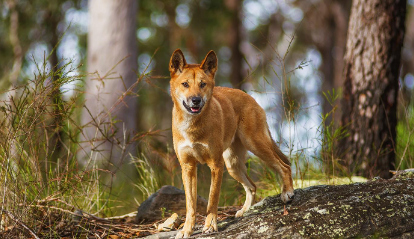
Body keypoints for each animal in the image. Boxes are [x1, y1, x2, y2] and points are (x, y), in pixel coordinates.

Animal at [169, 49, 294, 238]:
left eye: (203, 84)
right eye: (185, 84)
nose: (196, 100)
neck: (193, 126)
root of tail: (250, 97)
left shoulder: (216, 165)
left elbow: (212, 199)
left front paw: (211, 225)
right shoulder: (188, 167)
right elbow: (190, 205)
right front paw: (187, 230)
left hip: (255, 145)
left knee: (283, 166)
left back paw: (287, 193)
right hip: (232, 164)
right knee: (252, 186)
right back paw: (244, 211)